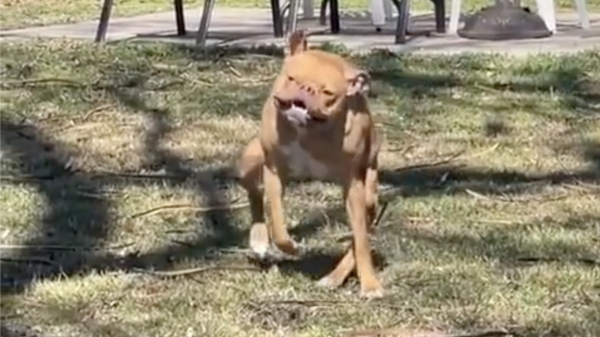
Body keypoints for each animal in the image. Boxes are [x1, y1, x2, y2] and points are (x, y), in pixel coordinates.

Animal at [237, 29, 382, 296]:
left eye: (328, 93)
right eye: (292, 78)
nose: (306, 88)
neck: (309, 132)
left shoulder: (354, 188)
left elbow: (361, 242)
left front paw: (370, 284)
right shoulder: (274, 171)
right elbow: (278, 221)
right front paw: (289, 247)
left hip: (369, 195)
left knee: (360, 235)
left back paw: (333, 278)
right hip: (250, 161)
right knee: (254, 194)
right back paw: (259, 239)